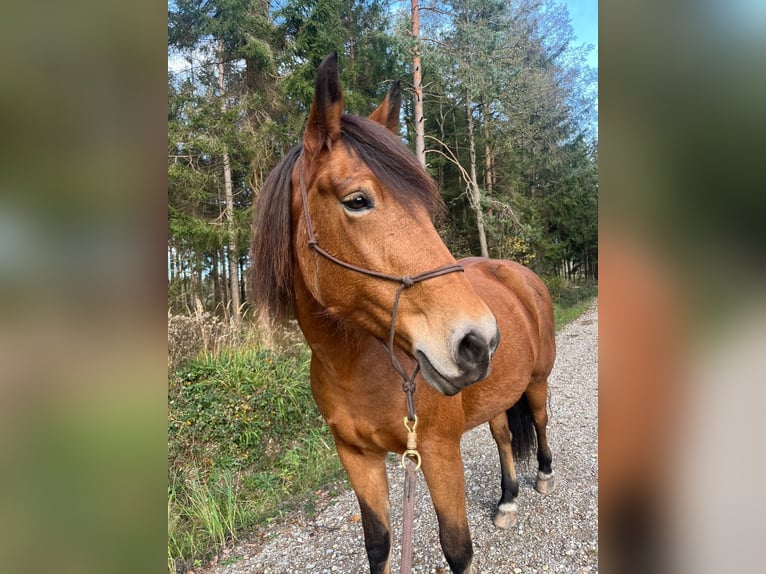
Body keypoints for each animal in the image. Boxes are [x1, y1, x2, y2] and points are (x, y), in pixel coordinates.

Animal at [252, 51, 560, 572]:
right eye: (357, 200)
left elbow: (457, 547)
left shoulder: (437, 452)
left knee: (537, 421)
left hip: (536, 382)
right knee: (502, 434)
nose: (479, 341)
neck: (354, 368)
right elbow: (378, 543)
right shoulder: (356, 457)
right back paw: (507, 499)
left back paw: (542, 475)